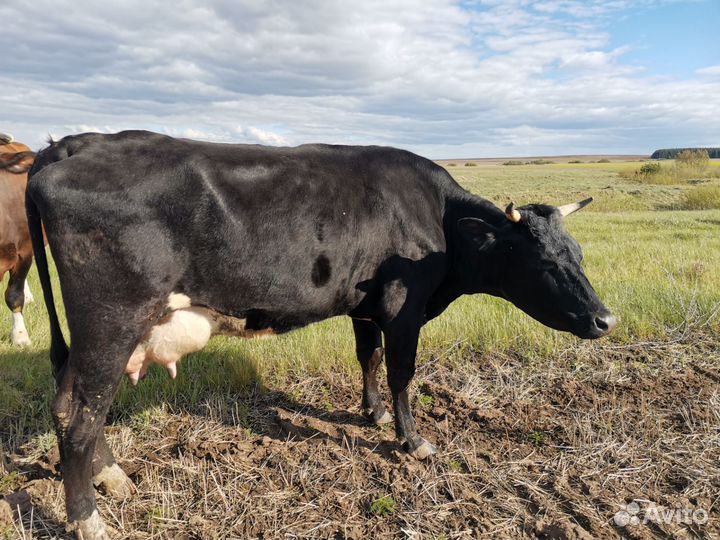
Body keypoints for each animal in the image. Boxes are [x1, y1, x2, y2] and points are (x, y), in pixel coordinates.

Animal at [27, 130, 616, 539]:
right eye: (545, 262)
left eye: (580, 254)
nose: (605, 320)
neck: (439, 220)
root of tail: (73, 144)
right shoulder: (404, 310)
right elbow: (402, 373)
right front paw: (412, 440)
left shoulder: (367, 307)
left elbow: (368, 358)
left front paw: (372, 413)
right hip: (112, 322)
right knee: (81, 417)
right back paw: (88, 519)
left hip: (92, 336)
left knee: (71, 403)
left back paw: (112, 479)